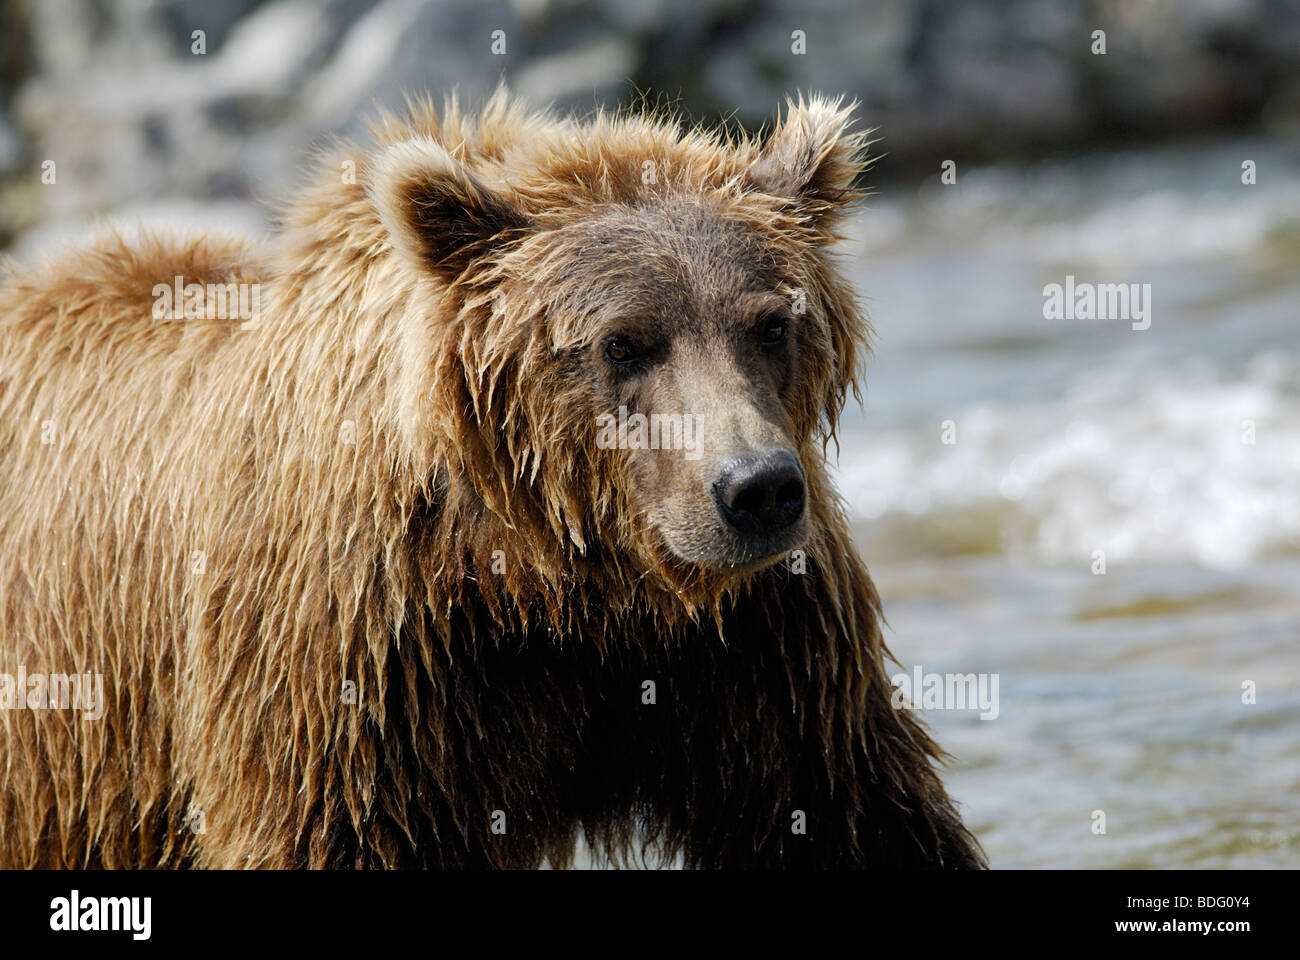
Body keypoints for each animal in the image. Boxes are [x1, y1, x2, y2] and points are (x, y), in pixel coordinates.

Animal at [0, 91, 977, 868]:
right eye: (624, 342)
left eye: (771, 324)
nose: (757, 490)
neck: (562, 580)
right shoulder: (361, 663)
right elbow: (326, 831)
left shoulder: (760, 650)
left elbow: (852, 809)